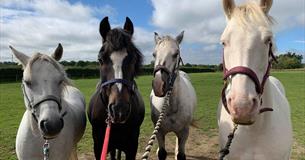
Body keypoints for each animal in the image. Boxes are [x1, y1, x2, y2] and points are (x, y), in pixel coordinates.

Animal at [150, 31, 197, 160]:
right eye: (154, 54)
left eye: (176, 54)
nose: (158, 85)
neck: (171, 105)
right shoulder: (159, 132)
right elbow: (162, 153)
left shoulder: (184, 132)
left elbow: (181, 155)